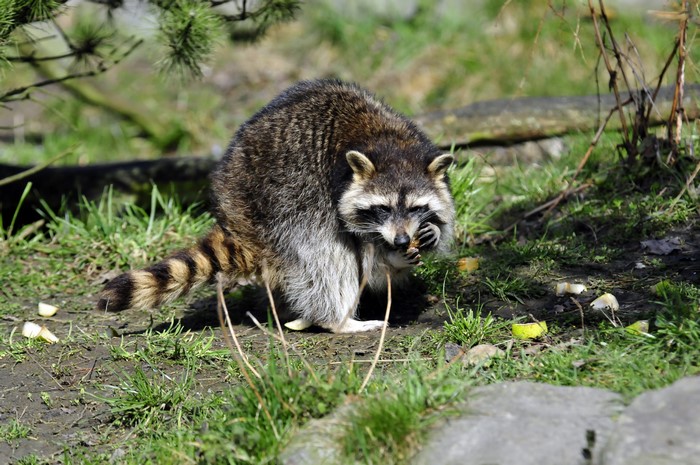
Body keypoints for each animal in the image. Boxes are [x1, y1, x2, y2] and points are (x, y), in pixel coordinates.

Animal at [97, 79, 455, 333]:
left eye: (415, 208)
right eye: (382, 208)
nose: (401, 240)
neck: (389, 142)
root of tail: (232, 214)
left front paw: (425, 237)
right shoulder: (330, 187)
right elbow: (355, 256)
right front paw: (390, 258)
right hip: (281, 202)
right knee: (324, 255)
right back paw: (336, 320)